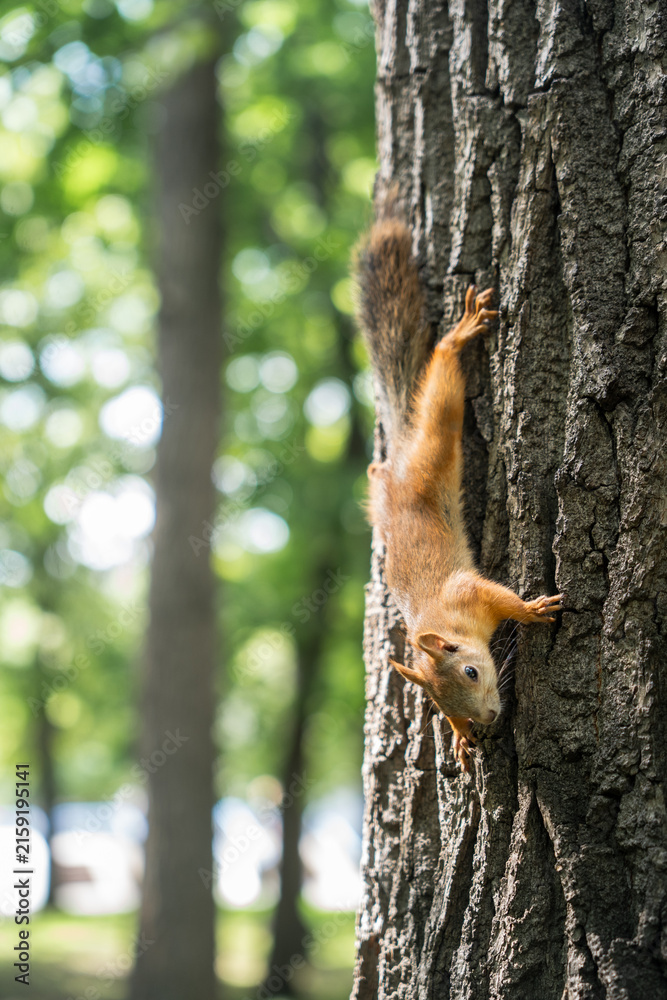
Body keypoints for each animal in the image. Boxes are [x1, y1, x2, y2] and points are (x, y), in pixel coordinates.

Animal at [354, 210, 564, 769]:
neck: (445, 622)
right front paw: (459, 737)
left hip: (434, 451)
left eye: (471, 671)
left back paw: (459, 334)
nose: (486, 718)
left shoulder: (468, 591)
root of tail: (399, 461)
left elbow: (500, 596)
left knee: (442, 392)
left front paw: (532, 610)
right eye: (437, 702)